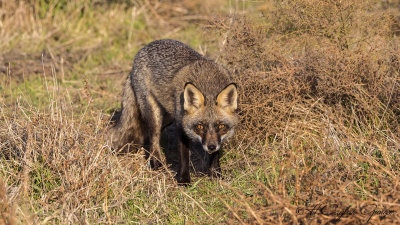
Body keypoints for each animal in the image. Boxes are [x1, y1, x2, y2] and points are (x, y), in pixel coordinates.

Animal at [107, 39, 238, 184]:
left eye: (221, 126)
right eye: (199, 126)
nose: (211, 146)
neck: (208, 82)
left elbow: (215, 157)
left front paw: (217, 176)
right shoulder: (181, 125)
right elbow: (184, 156)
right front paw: (184, 180)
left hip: (168, 117)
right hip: (155, 115)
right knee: (154, 139)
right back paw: (156, 164)